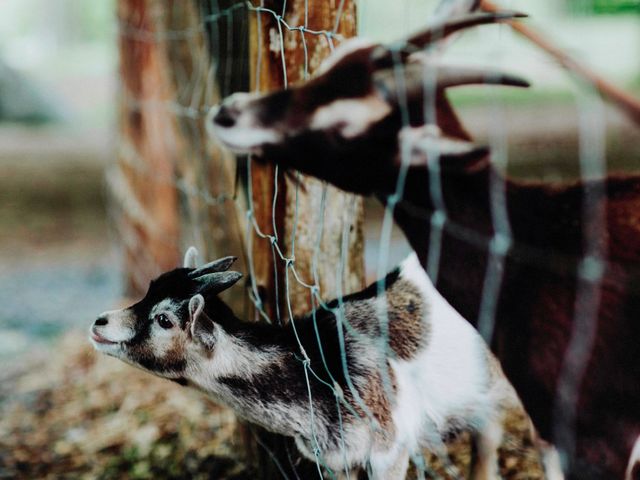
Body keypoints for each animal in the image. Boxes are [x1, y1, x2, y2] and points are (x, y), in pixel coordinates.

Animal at [92, 251, 524, 480]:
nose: (100, 323)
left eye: (164, 319)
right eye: (151, 288)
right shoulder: (336, 459)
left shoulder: (390, 445)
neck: (321, 366)